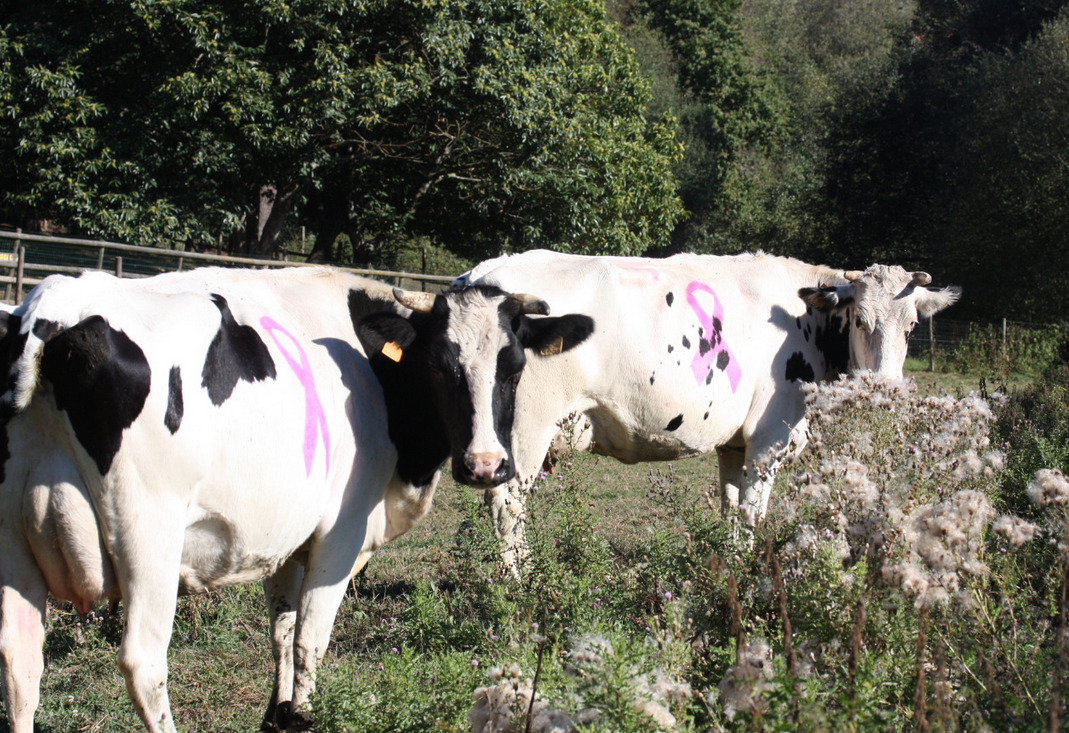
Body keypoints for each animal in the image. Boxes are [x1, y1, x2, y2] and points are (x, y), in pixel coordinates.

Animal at [0, 265, 591, 733]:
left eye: (514, 367)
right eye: (440, 365)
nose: (486, 465)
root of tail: (56, 307)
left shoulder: (284, 538)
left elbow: (281, 632)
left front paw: (279, 714)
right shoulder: (340, 535)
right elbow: (310, 639)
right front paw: (306, 714)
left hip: (15, 548)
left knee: (20, 662)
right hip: (148, 538)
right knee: (143, 663)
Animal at [455, 249, 962, 567]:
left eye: (912, 326)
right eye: (859, 320)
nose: (885, 388)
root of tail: (484, 272)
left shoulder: (735, 446)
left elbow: (731, 509)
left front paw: (730, 567)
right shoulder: (769, 438)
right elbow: (753, 515)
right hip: (525, 432)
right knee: (508, 508)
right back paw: (519, 585)